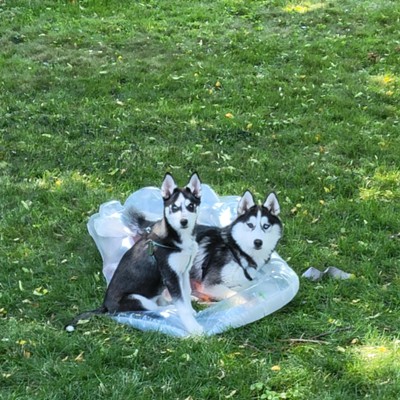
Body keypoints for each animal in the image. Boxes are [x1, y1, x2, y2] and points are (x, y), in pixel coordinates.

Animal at [66, 173, 203, 336]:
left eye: (191, 206)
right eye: (174, 207)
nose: (184, 222)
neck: (177, 238)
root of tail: (105, 306)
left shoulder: (183, 272)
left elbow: (185, 294)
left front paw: (191, 311)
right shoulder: (170, 276)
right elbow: (181, 305)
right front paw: (194, 329)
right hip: (138, 299)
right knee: (156, 309)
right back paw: (170, 308)